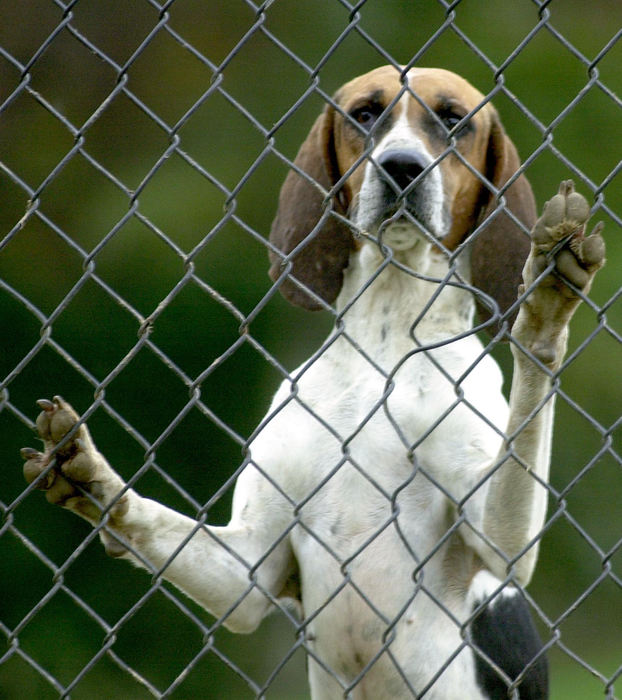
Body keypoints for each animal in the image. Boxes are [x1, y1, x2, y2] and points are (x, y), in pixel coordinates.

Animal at [23, 67, 604, 700]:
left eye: (454, 119)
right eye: (365, 113)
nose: (402, 166)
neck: (385, 341)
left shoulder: (501, 540)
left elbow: (532, 386)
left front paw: (544, 306)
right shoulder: (247, 570)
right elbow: (148, 518)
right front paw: (91, 476)